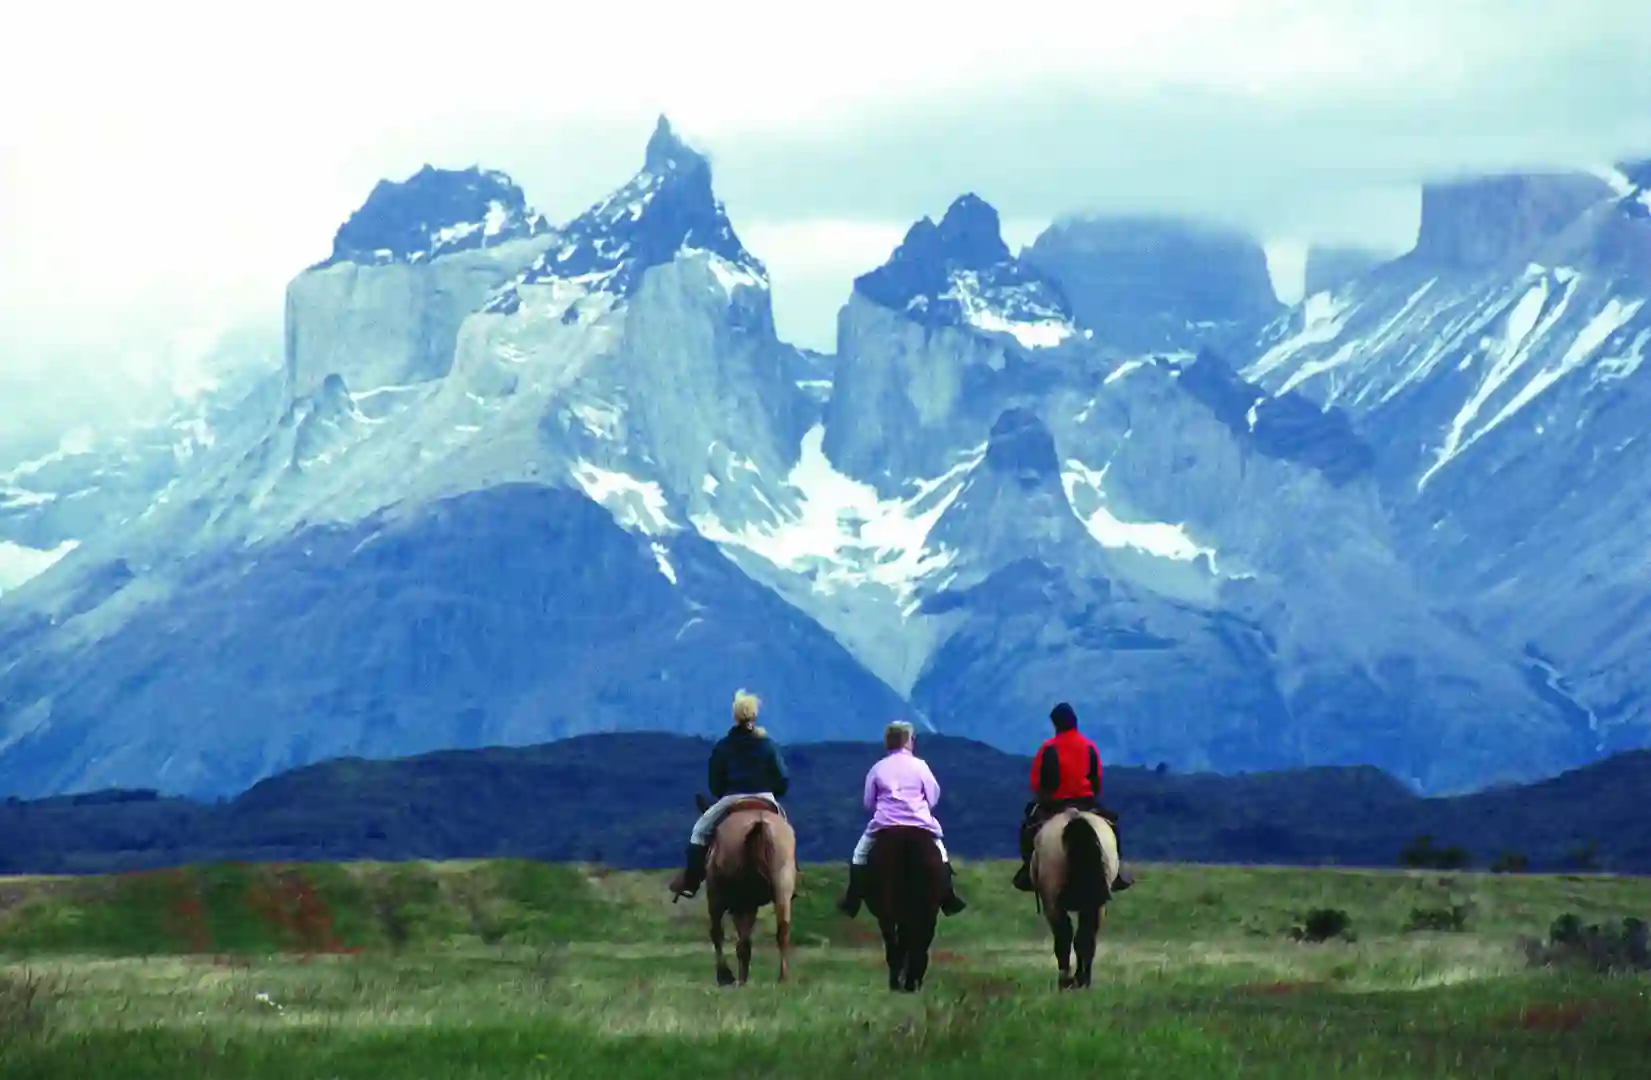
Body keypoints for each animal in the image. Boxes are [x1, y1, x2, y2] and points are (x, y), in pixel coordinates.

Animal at [696, 792, 799, 984]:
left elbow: (719, 933)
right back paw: (782, 978)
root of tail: (760, 824)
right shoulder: (749, 905)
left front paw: (726, 976)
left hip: (732, 899)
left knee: (726, 935)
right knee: (782, 932)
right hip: (781, 889)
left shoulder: (723, 899)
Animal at [1030, 809, 1122, 997]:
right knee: (1085, 939)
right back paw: (1082, 980)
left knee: (1064, 938)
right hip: (1096, 904)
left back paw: (1066, 982)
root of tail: (1075, 818)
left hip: (1053, 903)